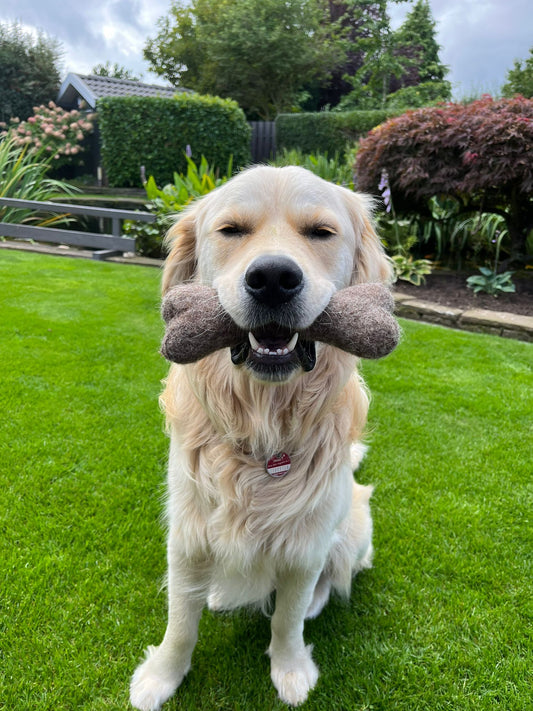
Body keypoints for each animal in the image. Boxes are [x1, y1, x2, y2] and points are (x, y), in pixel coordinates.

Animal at [130, 164, 390, 708]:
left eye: (320, 232)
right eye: (231, 230)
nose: (272, 278)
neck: (264, 421)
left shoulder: (306, 543)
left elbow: (288, 619)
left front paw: (290, 671)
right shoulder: (189, 534)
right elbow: (180, 622)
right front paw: (161, 677)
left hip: (352, 528)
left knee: (333, 579)